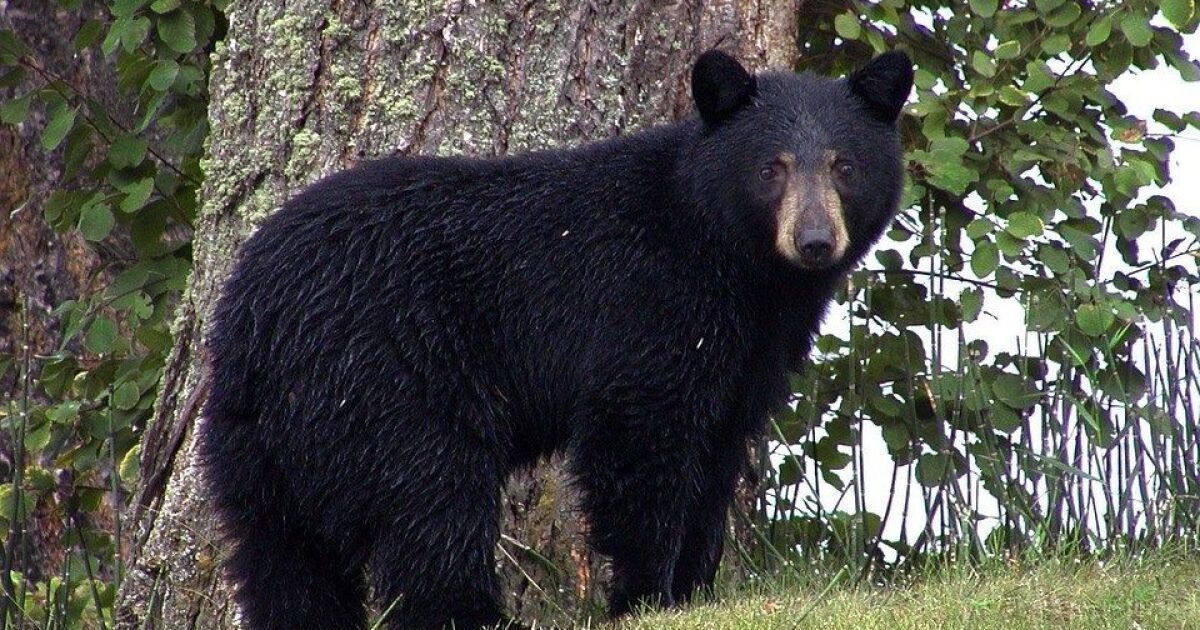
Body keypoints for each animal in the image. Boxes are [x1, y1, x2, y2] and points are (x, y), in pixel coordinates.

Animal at [198, 48, 913, 630]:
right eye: (772, 169)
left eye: (844, 166)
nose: (815, 241)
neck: (735, 264)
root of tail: (254, 317)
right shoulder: (648, 304)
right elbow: (639, 441)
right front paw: (646, 597)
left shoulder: (750, 353)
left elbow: (717, 452)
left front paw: (694, 591)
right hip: (390, 376)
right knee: (432, 502)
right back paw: (478, 616)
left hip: (257, 440)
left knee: (283, 556)